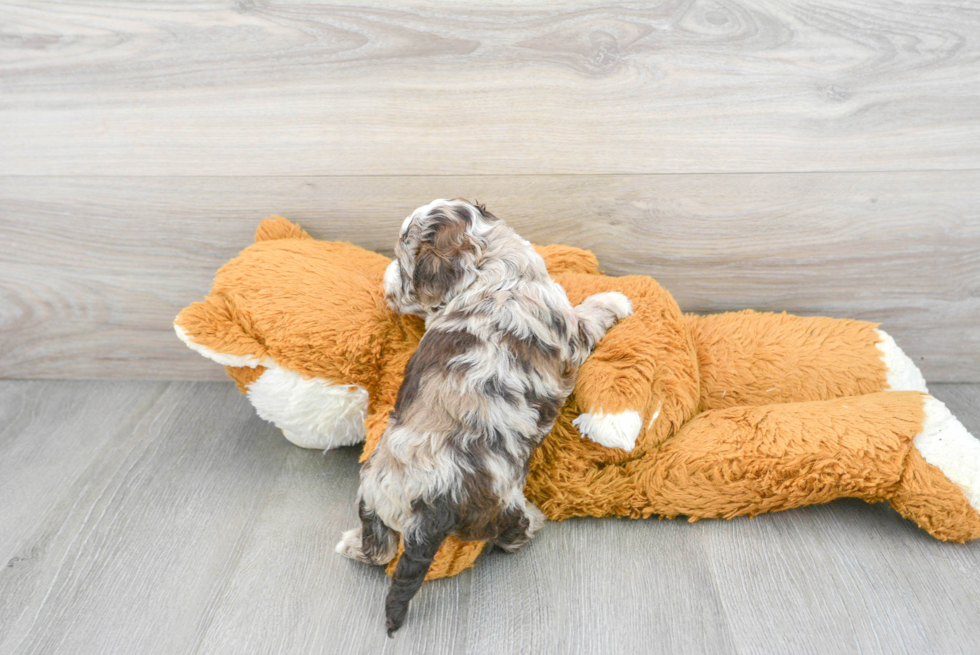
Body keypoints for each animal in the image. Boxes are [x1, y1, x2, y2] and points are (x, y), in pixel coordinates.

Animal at [336, 200, 632, 636]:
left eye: (402, 267)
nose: (385, 289)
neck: (491, 270)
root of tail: (430, 504)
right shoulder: (571, 333)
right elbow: (591, 312)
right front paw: (616, 299)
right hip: (500, 506)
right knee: (511, 535)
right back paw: (535, 520)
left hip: (374, 492)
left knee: (381, 548)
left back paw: (350, 543)